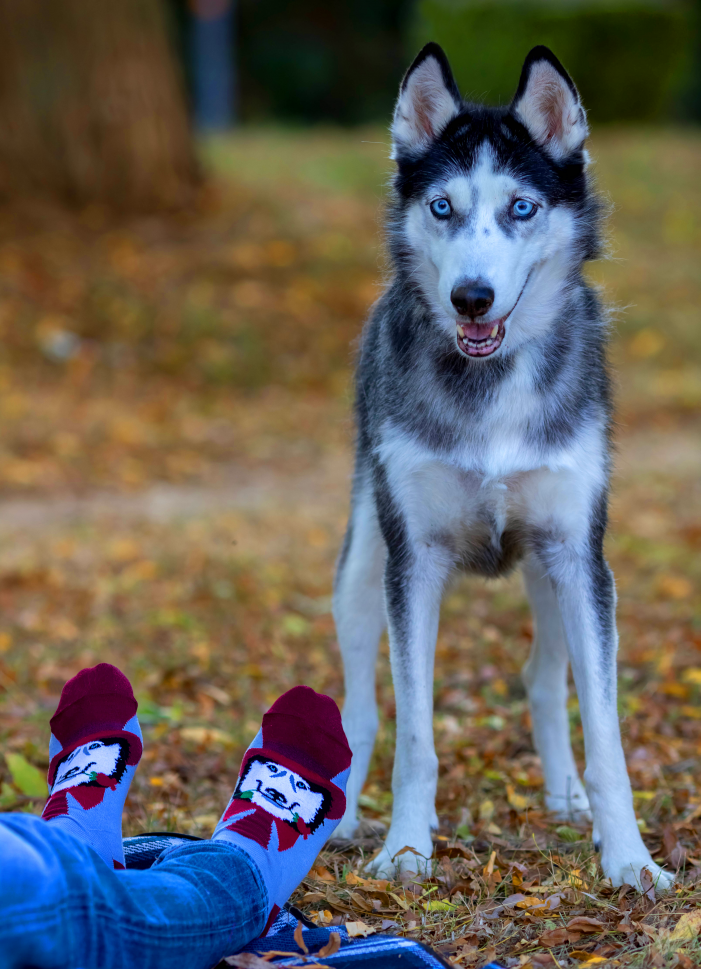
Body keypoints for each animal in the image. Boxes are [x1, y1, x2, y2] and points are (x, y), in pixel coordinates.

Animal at [334, 45, 672, 892]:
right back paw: (342, 816)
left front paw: (629, 857)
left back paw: (565, 798)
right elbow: (414, 737)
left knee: (542, 677)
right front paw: (405, 848)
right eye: (442, 208)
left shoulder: (579, 557)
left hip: (551, 573)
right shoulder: (411, 562)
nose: (472, 297)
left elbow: (605, 735)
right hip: (359, 566)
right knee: (358, 705)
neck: (491, 385)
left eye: (521, 208)